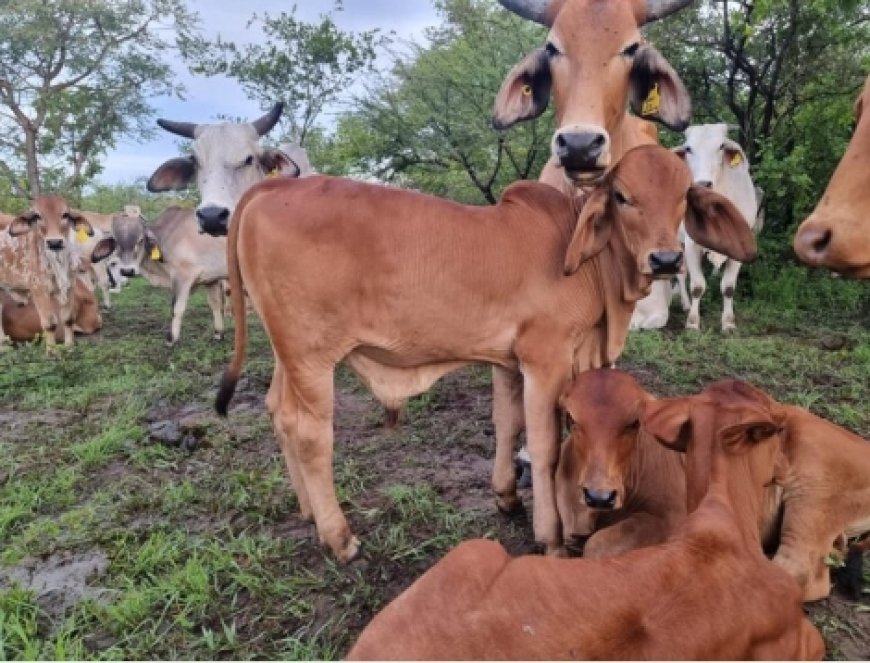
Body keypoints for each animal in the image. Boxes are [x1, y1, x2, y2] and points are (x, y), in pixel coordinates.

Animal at [0, 195, 94, 348]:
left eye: (65, 214)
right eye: (37, 216)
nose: (54, 242)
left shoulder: (70, 286)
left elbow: (68, 318)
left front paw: (69, 347)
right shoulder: (39, 289)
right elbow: (50, 324)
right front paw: (52, 351)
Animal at [107, 207, 228, 346]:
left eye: (140, 240)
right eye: (116, 241)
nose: (127, 271)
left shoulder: (182, 277)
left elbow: (176, 308)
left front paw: (171, 339)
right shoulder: (211, 279)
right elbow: (215, 304)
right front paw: (218, 334)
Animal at [214, 144, 756, 562]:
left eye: (683, 198)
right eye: (622, 197)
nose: (665, 259)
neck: (591, 264)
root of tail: (269, 190)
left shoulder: (509, 361)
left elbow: (506, 423)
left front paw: (506, 497)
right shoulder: (545, 359)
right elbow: (543, 446)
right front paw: (550, 536)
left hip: (288, 355)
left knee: (277, 412)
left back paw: (307, 510)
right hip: (312, 357)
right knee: (309, 433)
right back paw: (339, 537)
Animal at [631, 124, 761, 331]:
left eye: (721, 146)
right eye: (689, 148)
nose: (703, 183)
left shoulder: (740, 248)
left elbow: (728, 287)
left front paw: (728, 323)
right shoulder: (692, 244)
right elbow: (697, 286)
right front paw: (692, 323)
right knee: (681, 275)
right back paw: (685, 305)